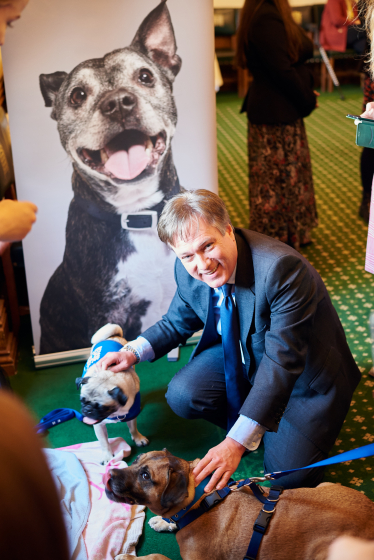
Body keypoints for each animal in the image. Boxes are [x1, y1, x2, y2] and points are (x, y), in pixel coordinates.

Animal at [75, 324, 148, 464]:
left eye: (101, 407)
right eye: (82, 400)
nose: (87, 410)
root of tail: (112, 336)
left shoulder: (132, 415)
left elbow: (133, 428)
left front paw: (137, 438)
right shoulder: (98, 425)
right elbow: (104, 442)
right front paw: (108, 457)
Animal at [104, 448, 374, 560]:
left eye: (145, 476)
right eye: (136, 460)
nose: (109, 475)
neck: (198, 499)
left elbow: (157, 556)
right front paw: (162, 521)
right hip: (324, 485)